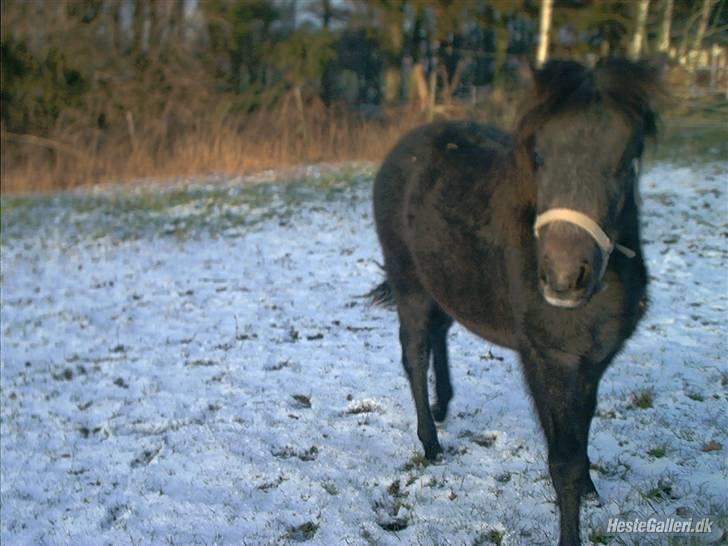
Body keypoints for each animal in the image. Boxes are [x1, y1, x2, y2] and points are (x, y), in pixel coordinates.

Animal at [372, 57, 664, 540]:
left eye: (629, 157)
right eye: (540, 156)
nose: (564, 278)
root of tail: (404, 147)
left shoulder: (592, 362)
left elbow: (581, 433)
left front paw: (590, 489)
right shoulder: (549, 359)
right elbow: (563, 459)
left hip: (444, 282)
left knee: (439, 333)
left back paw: (443, 404)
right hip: (409, 282)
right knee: (414, 353)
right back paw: (431, 443)